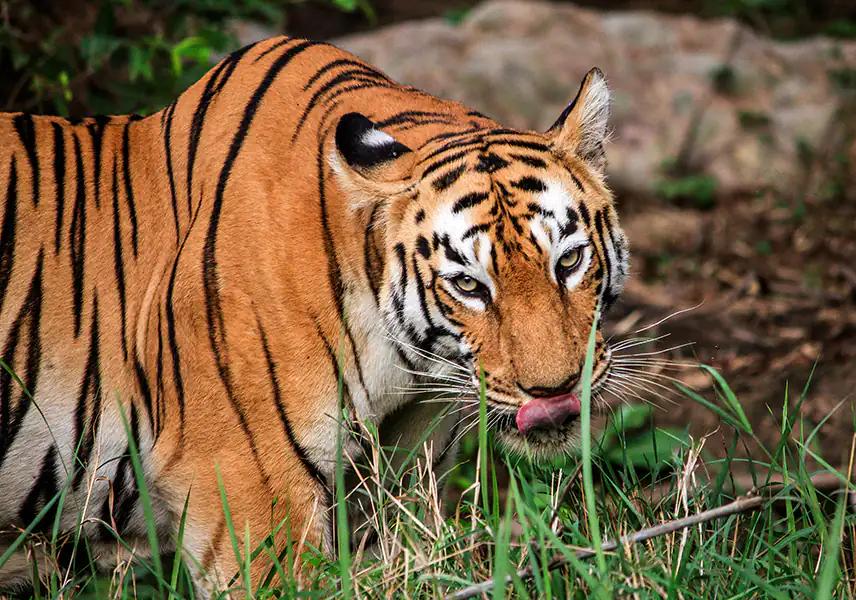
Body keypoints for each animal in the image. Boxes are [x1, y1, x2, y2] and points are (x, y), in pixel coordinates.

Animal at [0, 35, 628, 592]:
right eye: (470, 286)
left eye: (569, 261)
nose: (554, 392)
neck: (404, 368)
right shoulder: (246, 485)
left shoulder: (389, 487)